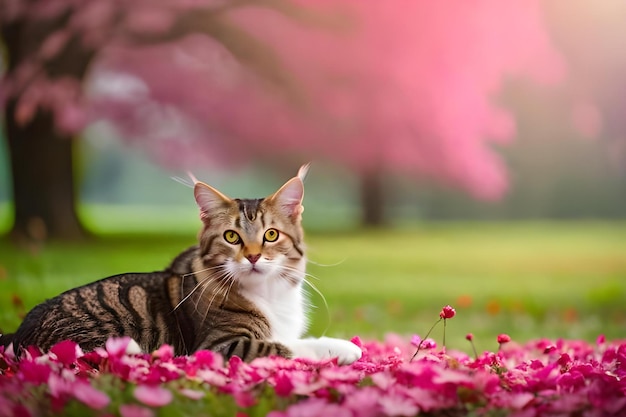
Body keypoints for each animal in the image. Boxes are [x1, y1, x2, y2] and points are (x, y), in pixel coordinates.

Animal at [1, 165, 360, 364]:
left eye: (271, 235)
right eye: (231, 236)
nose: (253, 256)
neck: (269, 294)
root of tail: (18, 333)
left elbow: (301, 338)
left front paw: (343, 346)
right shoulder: (221, 345)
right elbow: (286, 345)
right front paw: (336, 349)